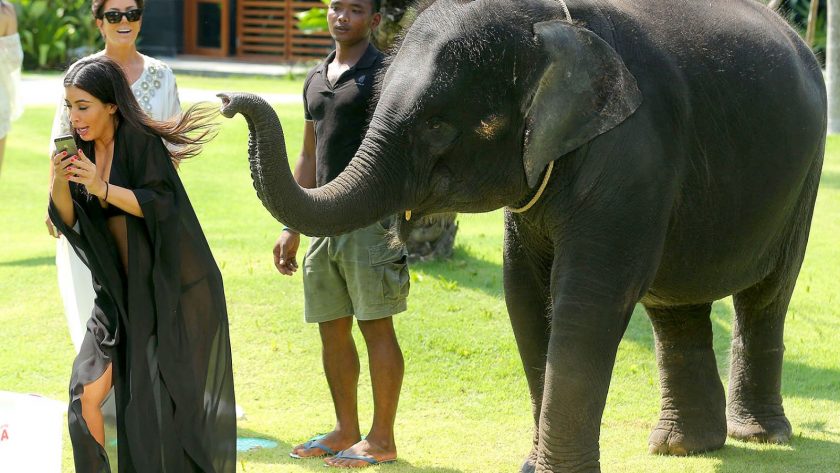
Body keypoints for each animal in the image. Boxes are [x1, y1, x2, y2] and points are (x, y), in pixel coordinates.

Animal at [218, 0, 828, 470]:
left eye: (437, 125)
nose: (226, 101)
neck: (549, 21)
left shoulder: (632, 152)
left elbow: (588, 299)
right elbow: (525, 296)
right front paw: (535, 465)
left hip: (807, 174)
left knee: (766, 295)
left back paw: (758, 435)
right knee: (676, 305)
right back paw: (682, 446)